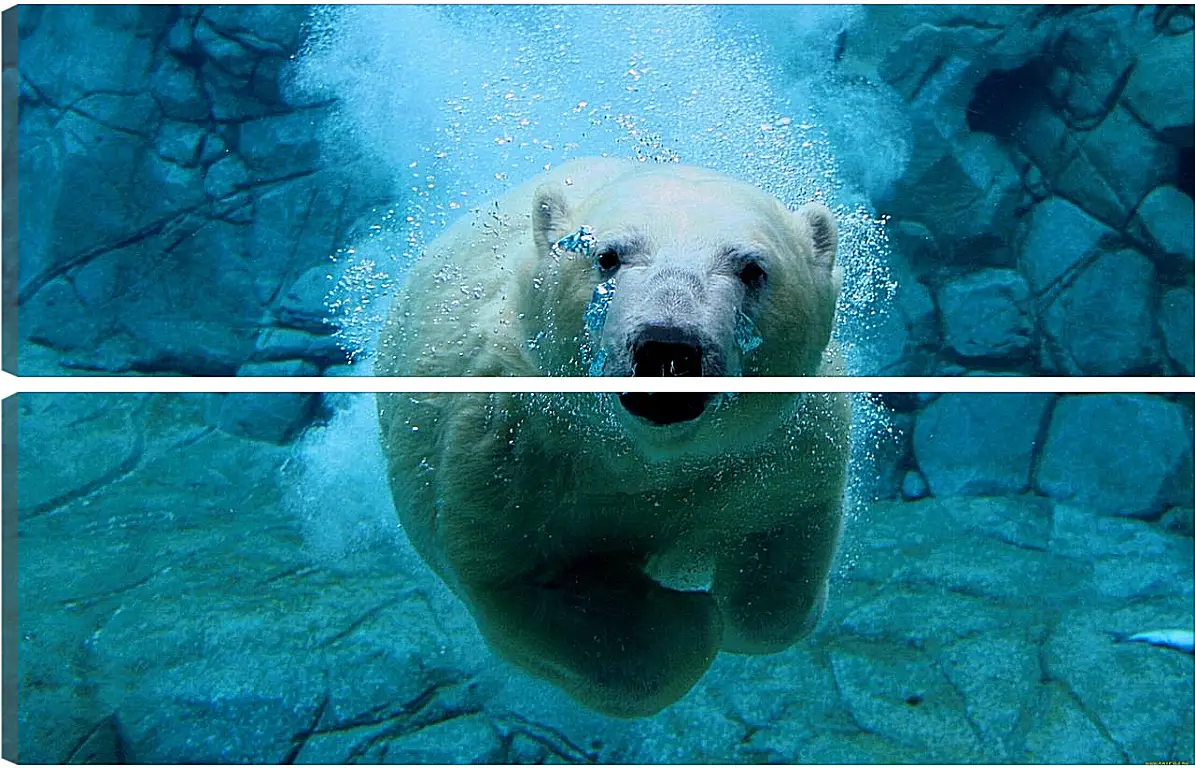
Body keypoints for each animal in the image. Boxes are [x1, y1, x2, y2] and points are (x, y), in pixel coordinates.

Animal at [375, 158, 850, 716]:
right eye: (607, 256)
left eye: (753, 269)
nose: (668, 346)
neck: (646, 456)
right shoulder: (509, 451)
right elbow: (525, 584)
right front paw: (687, 618)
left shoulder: (779, 445)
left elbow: (784, 541)